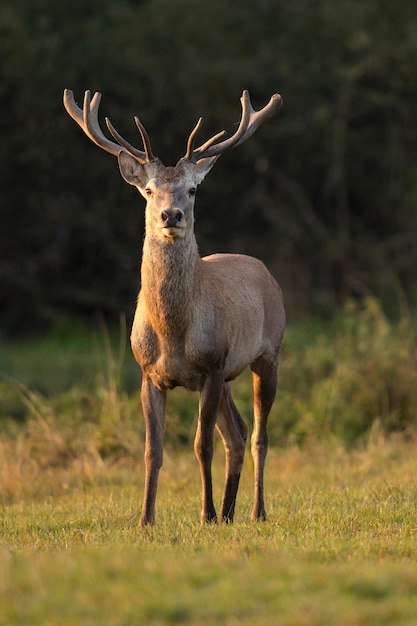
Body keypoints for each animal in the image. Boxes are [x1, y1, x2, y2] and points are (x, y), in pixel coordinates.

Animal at [63, 88, 284, 524]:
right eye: (149, 190)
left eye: (193, 189)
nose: (171, 214)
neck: (172, 332)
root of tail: (266, 272)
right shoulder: (149, 373)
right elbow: (153, 451)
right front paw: (145, 519)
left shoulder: (212, 364)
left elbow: (201, 445)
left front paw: (205, 514)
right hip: (229, 376)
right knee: (236, 434)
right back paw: (230, 511)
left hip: (268, 354)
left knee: (257, 436)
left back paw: (255, 511)